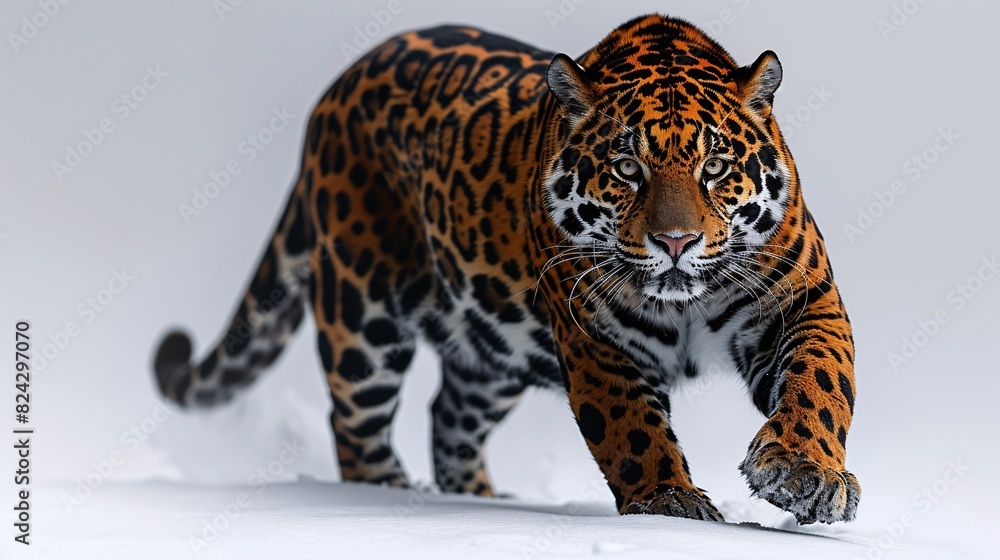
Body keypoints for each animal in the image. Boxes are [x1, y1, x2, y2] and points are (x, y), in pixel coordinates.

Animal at [153, 14, 860, 524]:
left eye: (715, 167)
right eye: (626, 168)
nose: (676, 241)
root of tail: (335, 89)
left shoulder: (803, 300)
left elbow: (821, 381)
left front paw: (806, 474)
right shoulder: (596, 338)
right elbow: (631, 430)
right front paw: (669, 502)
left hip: (493, 345)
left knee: (448, 416)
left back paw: (477, 497)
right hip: (363, 315)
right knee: (354, 421)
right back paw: (383, 493)